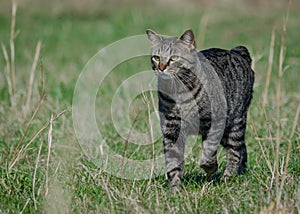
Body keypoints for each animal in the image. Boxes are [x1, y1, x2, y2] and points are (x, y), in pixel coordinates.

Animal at [146, 28, 254, 191]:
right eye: (157, 58)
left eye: (174, 58)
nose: (161, 67)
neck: (180, 93)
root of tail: (236, 51)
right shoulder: (171, 130)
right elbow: (173, 163)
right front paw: (175, 190)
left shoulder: (214, 123)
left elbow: (208, 151)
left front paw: (210, 168)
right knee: (242, 149)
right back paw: (240, 172)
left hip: (235, 124)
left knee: (235, 151)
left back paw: (228, 178)